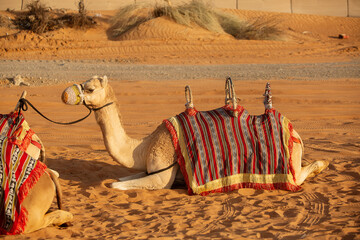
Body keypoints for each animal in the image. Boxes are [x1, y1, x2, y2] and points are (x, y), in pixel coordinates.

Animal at [62, 76, 330, 194]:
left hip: (288, 164)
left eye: (90, 88)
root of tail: (295, 132)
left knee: (299, 176)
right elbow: (119, 179)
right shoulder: (150, 170)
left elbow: (116, 184)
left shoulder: (162, 175)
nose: (67, 93)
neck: (143, 147)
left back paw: (322, 165)